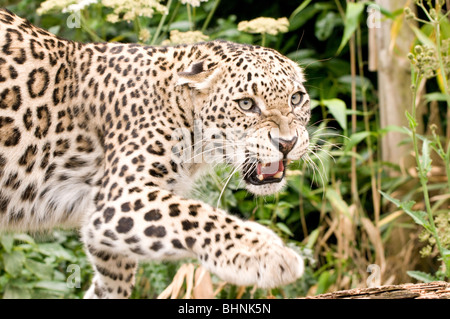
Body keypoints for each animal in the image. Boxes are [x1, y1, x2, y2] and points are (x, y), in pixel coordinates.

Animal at [0, 8, 310, 300]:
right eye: (246, 104)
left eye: (296, 99)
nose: (287, 143)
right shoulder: (117, 198)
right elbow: (196, 214)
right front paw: (265, 254)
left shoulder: (104, 231)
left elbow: (113, 280)